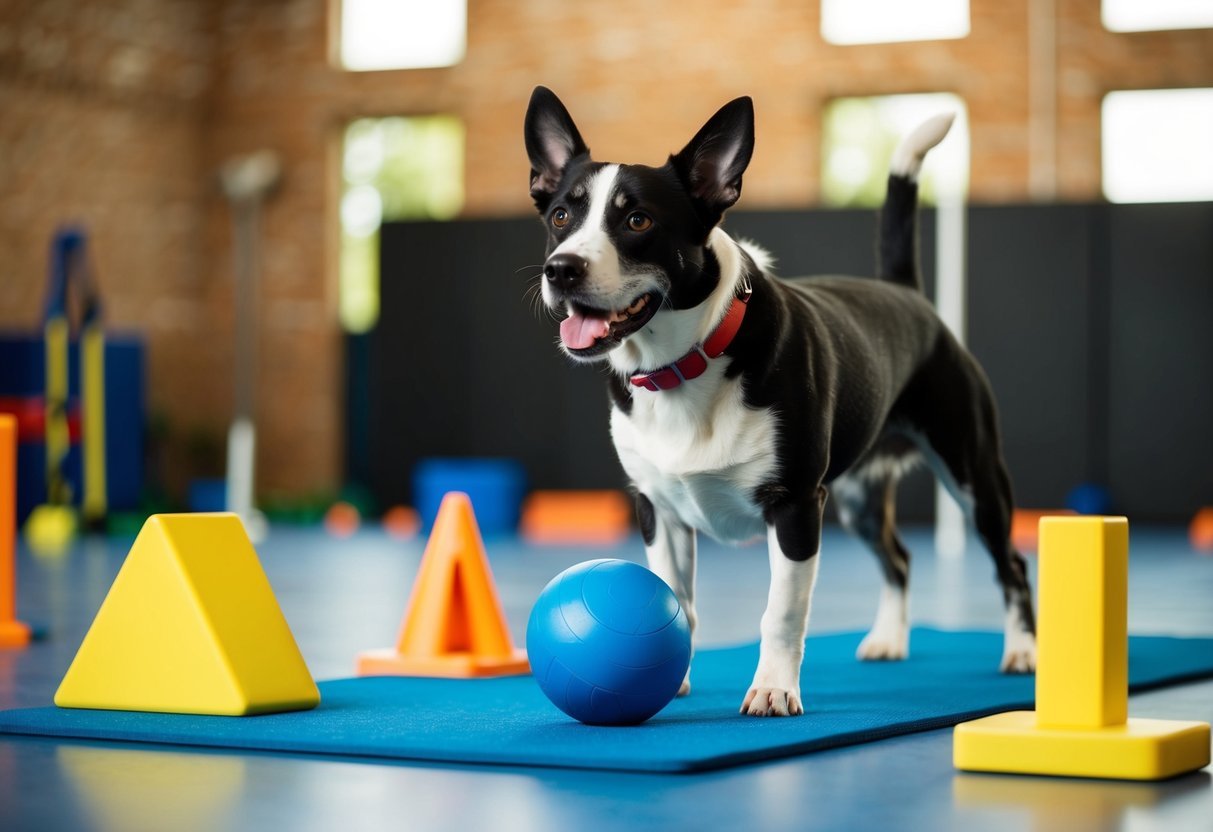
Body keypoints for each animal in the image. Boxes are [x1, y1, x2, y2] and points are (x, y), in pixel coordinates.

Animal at [521, 89, 1033, 717]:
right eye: (561, 217)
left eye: (638, 220)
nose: (561, 269)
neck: (684, 364)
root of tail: (906, 295)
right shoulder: (658, 509)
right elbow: (677, 598)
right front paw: (675, 675)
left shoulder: (793, 506)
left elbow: (782, 612)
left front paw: (773, 688)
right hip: (859, 498)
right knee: (899, 560)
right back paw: (889, 639)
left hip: (973, 478)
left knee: (1011, 564)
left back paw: (1022, 651)